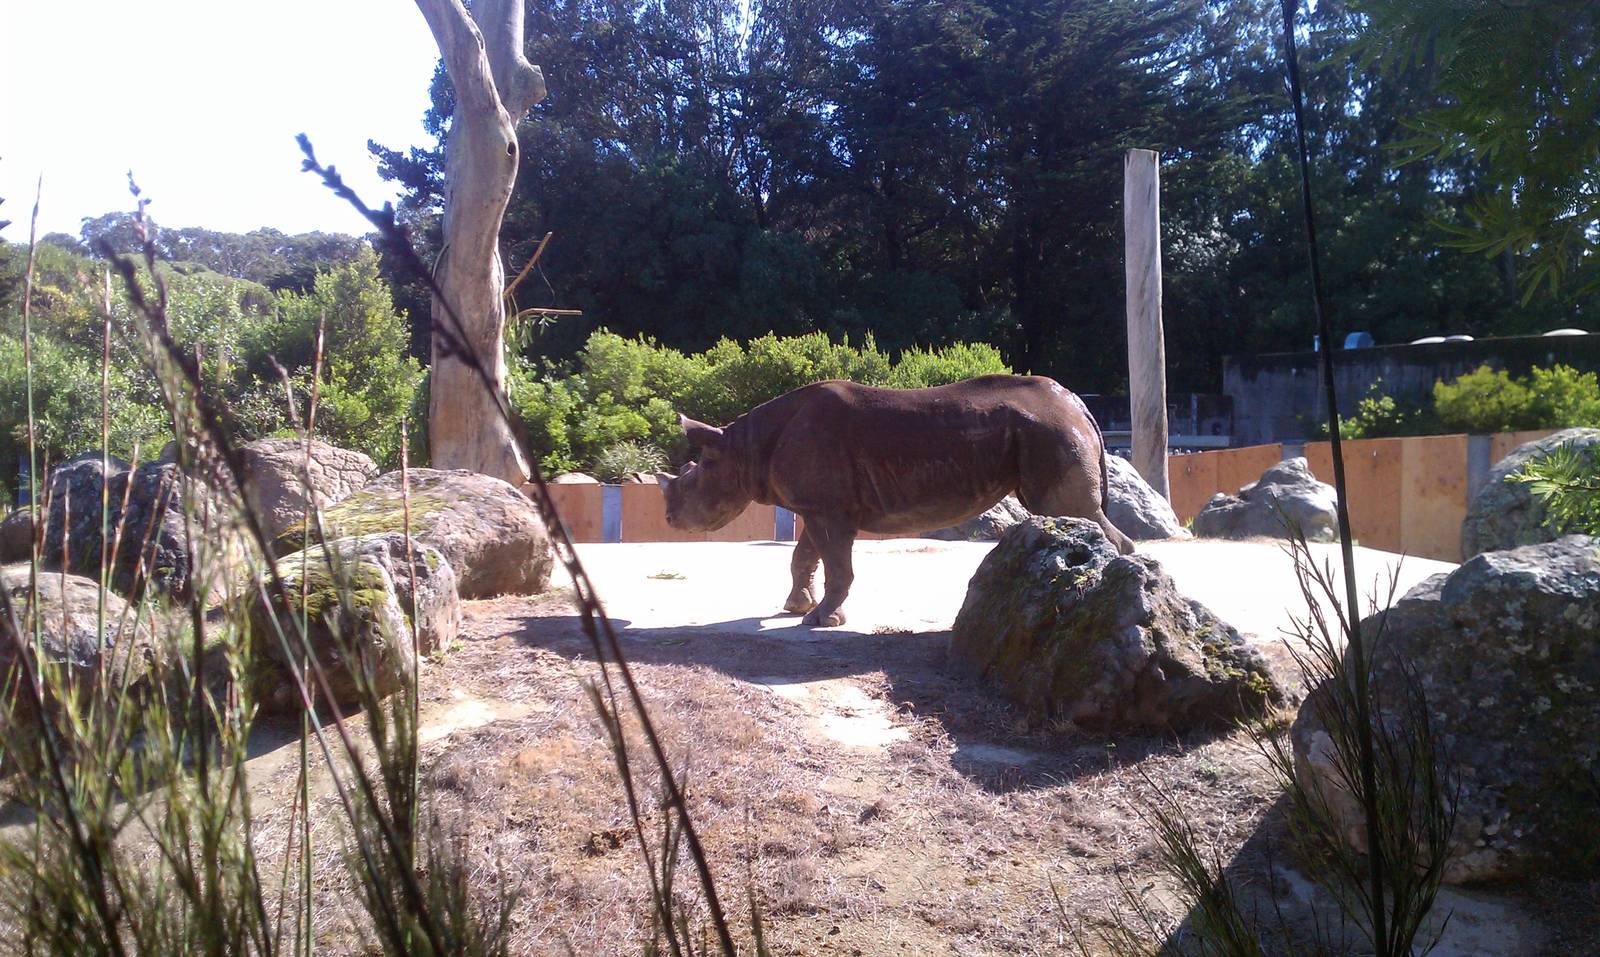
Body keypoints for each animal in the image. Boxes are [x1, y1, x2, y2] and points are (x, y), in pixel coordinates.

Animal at [660, 375, 1135, 626]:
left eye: (691, 480)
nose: (668, 518)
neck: (743, 447)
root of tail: (1079, 406)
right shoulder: (815, 506)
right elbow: (805, 555)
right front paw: (797, 608)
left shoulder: (829, 510)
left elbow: (837, 564)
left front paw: (822, 621)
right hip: (1049, 430)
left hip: (1050, 432)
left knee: (1067, 512)